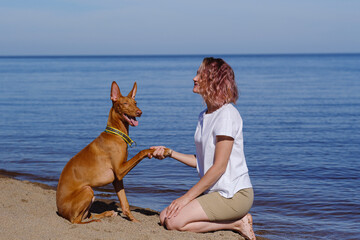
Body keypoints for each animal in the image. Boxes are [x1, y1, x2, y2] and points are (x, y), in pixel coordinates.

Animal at [56, 81, 172, 224]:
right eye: (125, 103)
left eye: (135, 102)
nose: (140, 112)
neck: (116, 134)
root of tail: (61, 211)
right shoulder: (120, 170)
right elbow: (141, 152)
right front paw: (160, 150)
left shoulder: (117, 179)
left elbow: (125, 203)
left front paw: (134, 220)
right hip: (88, 190)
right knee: (77, 220)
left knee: (87, 215)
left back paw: (108, 213)